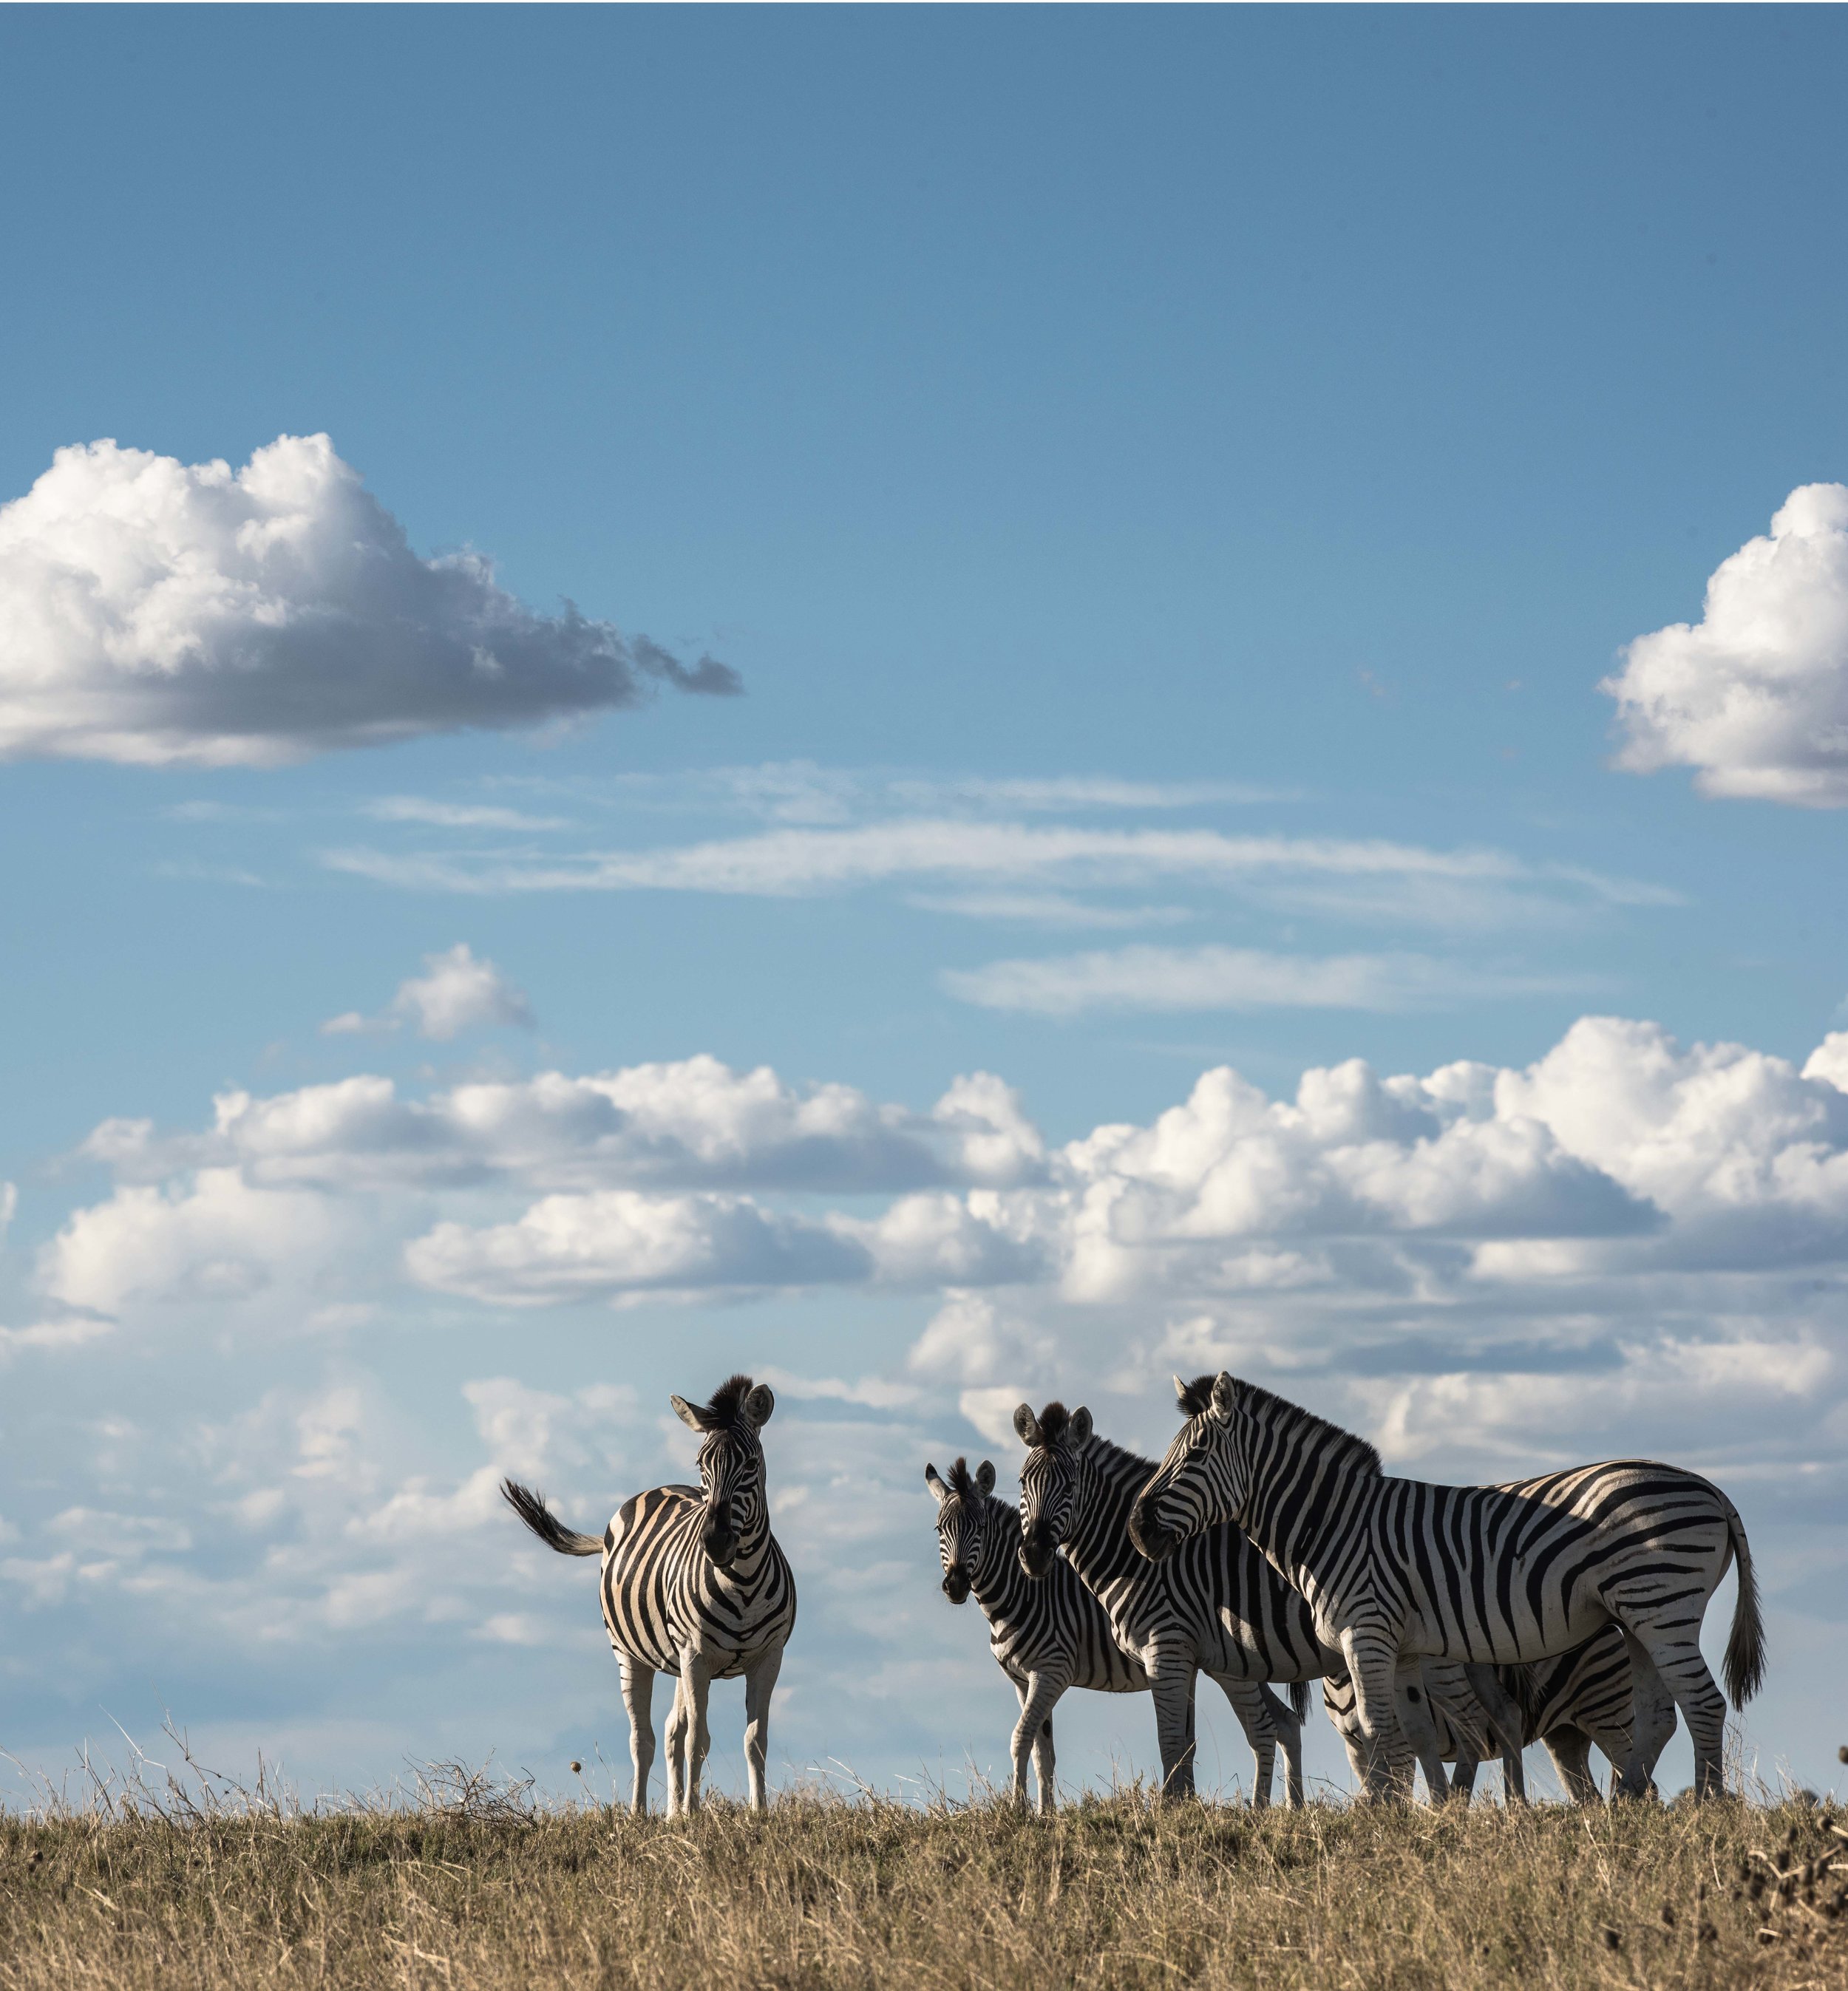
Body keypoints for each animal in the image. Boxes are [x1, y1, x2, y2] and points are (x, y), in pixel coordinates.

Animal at [506, 1378, 792, 1815]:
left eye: (750, 1464)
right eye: (702, 1464)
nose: (715, 1541)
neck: (741, 1582)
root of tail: (658, 1488)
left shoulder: (768, 1658)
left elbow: (754, 1741)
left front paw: (758, 1813)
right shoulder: (696, 1656)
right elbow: (698, 1740)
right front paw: (694, 1815)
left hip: (678, 1660)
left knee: (672, 1731)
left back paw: (671, 1816)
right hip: (630, 1653)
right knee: (643, 1739)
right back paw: (639, 1816)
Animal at [924, 1457, 1298, 1815]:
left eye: (980, 1528)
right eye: (940, 1529)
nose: (955, 1585)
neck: (1023, 1594)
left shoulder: (1052, 1671)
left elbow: (1021, 1738)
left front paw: (1018, 1812)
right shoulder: (1021, 1680)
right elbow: (1043, 1753)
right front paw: (1045, 1816)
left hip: (1233, 1667)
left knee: (1265, 1728)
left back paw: (1262, 1811)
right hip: (1250, 1664)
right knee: (1287, 1721)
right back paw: (1295, 1807)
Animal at [1123, 1369, 1760, 1808]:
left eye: (1195, 1455)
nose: (1136, 1529)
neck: (1331, 1524)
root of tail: (1710, 1488)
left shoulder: (1366, 1631)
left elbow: (1380, 1733)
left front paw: (1383, 1818)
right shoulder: (1404, 1647)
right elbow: (1416, 1735)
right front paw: (1428, 1816)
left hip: (1661, 1606)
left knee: (1703, 1704)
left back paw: (1704, 1809)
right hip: (1636, 1618)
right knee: (1659, 1715)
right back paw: (1627, 1804)